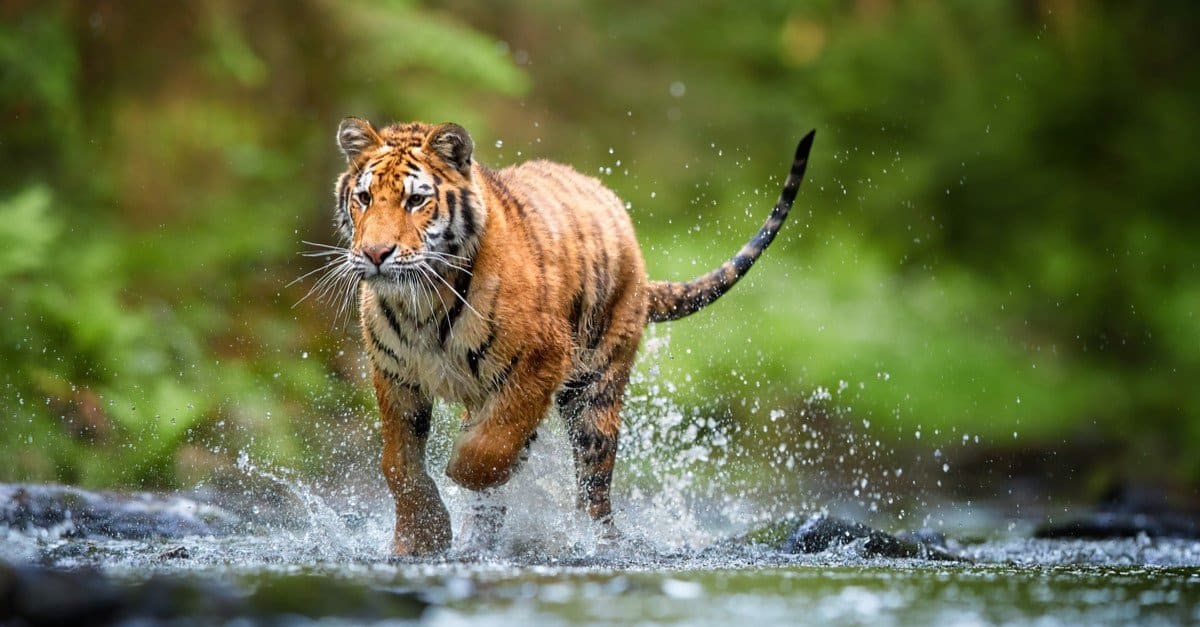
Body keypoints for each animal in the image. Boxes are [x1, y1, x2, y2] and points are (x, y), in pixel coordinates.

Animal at [327, 117, 814, 555]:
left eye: (415, 201)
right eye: (364, 198)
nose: (375, 253)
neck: (421, 304)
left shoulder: (541, 360)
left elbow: (489, 451)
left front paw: (460, 465)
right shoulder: (395, 375)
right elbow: (398, 464)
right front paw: (419, 540)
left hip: (595, 392)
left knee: (594, 490)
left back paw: (597, 543)